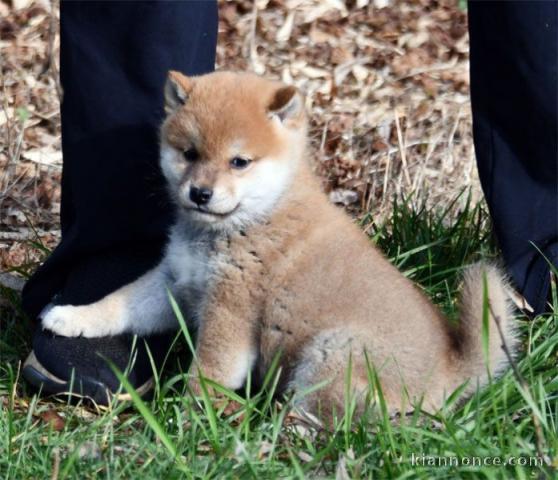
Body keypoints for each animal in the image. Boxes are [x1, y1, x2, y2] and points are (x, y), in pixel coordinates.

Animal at [43, 71, 520, 420]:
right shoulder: (173, 284)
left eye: (239, 161)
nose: (199, 193)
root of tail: (452, 368)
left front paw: (189, 418)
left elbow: (209, 371)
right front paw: (70, 318)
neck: (250, 220)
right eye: (190, 153)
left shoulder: (230, 309)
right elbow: (116, 304)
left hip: (334, 350)